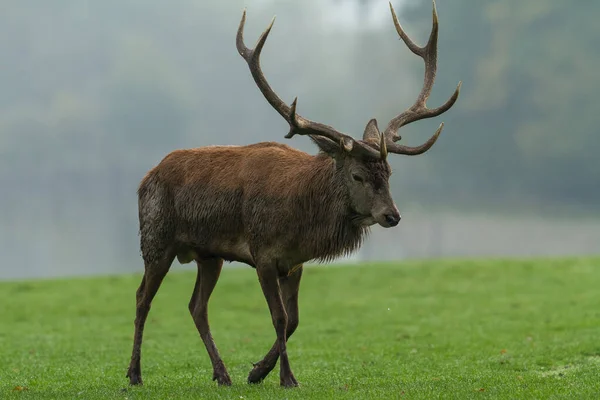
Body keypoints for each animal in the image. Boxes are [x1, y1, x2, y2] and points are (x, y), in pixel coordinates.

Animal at [126, 0, 462, 388]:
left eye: (390, 173)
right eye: (358, 175)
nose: (391, 215)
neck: (302, 219)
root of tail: (146, 177)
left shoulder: (295, 262)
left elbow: (296, 319)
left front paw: (257, 371)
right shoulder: (263, 253)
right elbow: (280, 317)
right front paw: (286, 377)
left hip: (209, 255)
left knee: (197, 306)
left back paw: (222, 374)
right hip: (156, 239)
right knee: (142, 298)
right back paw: (134, 373)